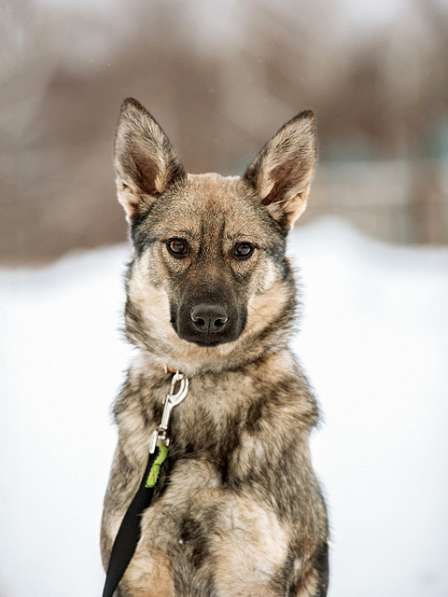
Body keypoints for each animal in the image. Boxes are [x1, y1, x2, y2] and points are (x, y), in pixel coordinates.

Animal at [103, 95, 330, 592]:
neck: (204, 382)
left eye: (243, 250)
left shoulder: (250, 574)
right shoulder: (141, 569)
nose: (209, 320)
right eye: (177, 246)